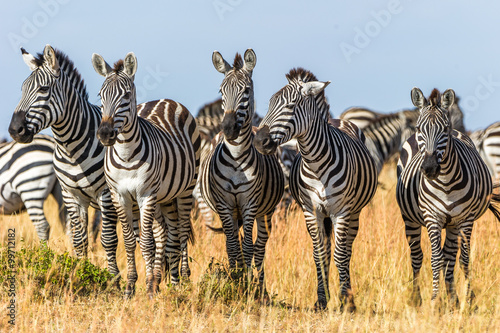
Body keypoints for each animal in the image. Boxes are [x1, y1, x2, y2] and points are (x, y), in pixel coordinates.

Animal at [9, 43, 120, 278]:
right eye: (22, 89)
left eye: (43, 89)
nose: (14, 130)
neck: (72, 150)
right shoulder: (70, 194)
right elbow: (79, 240)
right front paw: (81, 274)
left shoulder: (105, 193)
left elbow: (108, 239)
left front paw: (113, 279)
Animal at [91, 52, 200, 296]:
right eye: (101, 95)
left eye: (126, 95)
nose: (104, 134)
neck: (126, 156)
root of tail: (167, 100)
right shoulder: (120, 196)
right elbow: (131, 241)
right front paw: (131, 286)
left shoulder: (146, 195)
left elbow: (148, 242)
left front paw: (150, 287)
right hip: (165, 197)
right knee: (165, 233)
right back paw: (163, 279)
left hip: (185, 189)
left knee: (181, 232)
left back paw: (182, 279)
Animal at [200, 49, 286, 294]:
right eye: (221, 91)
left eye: (246, 90)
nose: (228, 129)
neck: (237, 158)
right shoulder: (224, 204)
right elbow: (232, 245)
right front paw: (234, 280)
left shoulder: (250, 203)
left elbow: (248, 247)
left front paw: (246, 284)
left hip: (266, 212)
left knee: (260, 246)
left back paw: (261, 288)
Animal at [256, 68, 376, 312]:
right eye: (270, 103)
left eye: (291, 106)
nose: (260, 141)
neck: (316, 163)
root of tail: (336, 119)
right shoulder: (311, 211)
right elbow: (319, 254)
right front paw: (321, 299)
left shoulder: (341, 211)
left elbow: (341, 255)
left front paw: (346, 301)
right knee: (328, 250)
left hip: (354, 213)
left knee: (347, 250)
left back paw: (348, 295)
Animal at [394, 87, 500, 304]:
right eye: (419, 128)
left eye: (444, 129)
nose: (429, 168)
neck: (446, 184)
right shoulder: (432, 217)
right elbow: (435, 259)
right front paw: (435, 299)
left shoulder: (465, 218)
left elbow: (463, 258)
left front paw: (468, 300)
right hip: (410, 218)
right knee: (417, 256)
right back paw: (417, 299)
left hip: (453, 223)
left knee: (449, 256)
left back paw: (452, 298)